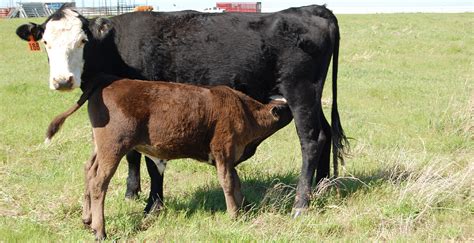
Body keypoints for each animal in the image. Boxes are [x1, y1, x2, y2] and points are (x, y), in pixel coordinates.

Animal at [15, 3, 348, 216]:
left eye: (83, 40)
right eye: (46, 42)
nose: (63, 80)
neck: (115, 45)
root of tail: (313, 9)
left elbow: (152, 160)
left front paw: (153, 206)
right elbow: (134, 155)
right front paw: (132, 192)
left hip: (300, 91)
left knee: (310, 140)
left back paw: (301, 203)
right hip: (312, 96)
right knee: (325, 134)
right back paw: (322, 186)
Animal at [49, 74, 292, 239]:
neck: (245, 111)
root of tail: (109, 82)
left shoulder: (229, 158)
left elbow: (236, 182)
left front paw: (244, 208)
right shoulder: (223, 151)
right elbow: (229, 183)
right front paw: (234, 215)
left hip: (99, 149)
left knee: (89, 171)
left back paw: (87, 219)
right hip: (113, 147)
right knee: (99, 183)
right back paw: (100, 231)